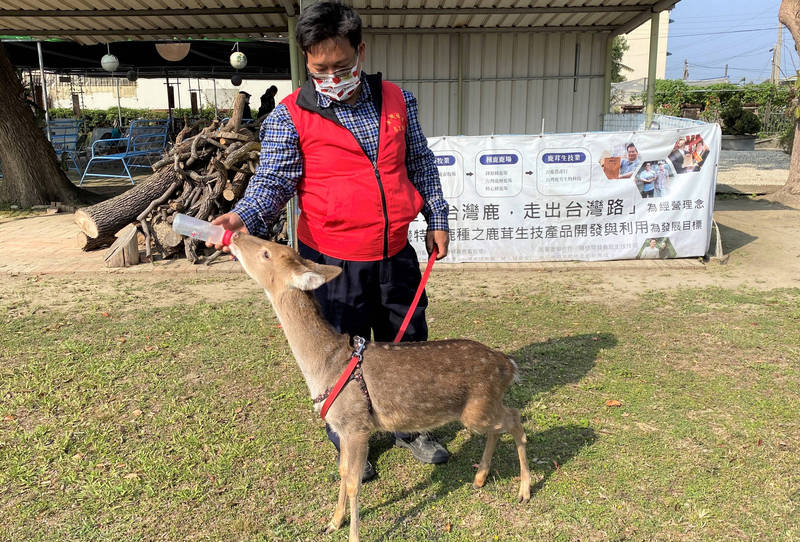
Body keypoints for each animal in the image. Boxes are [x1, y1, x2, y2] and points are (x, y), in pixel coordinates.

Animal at [228, 232, 532, 540]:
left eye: (267, 253)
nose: (237, 235)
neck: (325, 366)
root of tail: (508, 365)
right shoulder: (342, 427)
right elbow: (342, 472)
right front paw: (332, 522)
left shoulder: (357, 424)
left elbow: (353, 482)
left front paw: (352, 535)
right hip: (482, 409)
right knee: (501, 426)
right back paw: (480, 477)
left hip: (478, 407)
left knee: (515, 418)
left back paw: (524, 491)